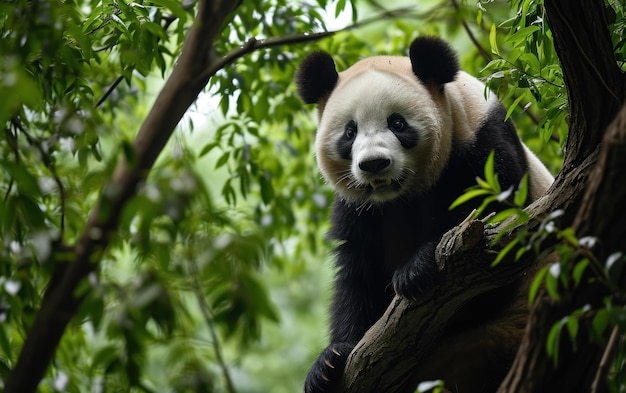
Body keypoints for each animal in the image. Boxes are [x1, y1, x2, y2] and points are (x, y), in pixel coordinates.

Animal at [294, 35, 552, 390]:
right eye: (350, 132)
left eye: (397, 123)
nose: (374, 164)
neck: (402, 195)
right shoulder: (359, 208)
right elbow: (358, 271)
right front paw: (329, 361)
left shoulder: (483, 143)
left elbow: (497, 238)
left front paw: (415, 269)